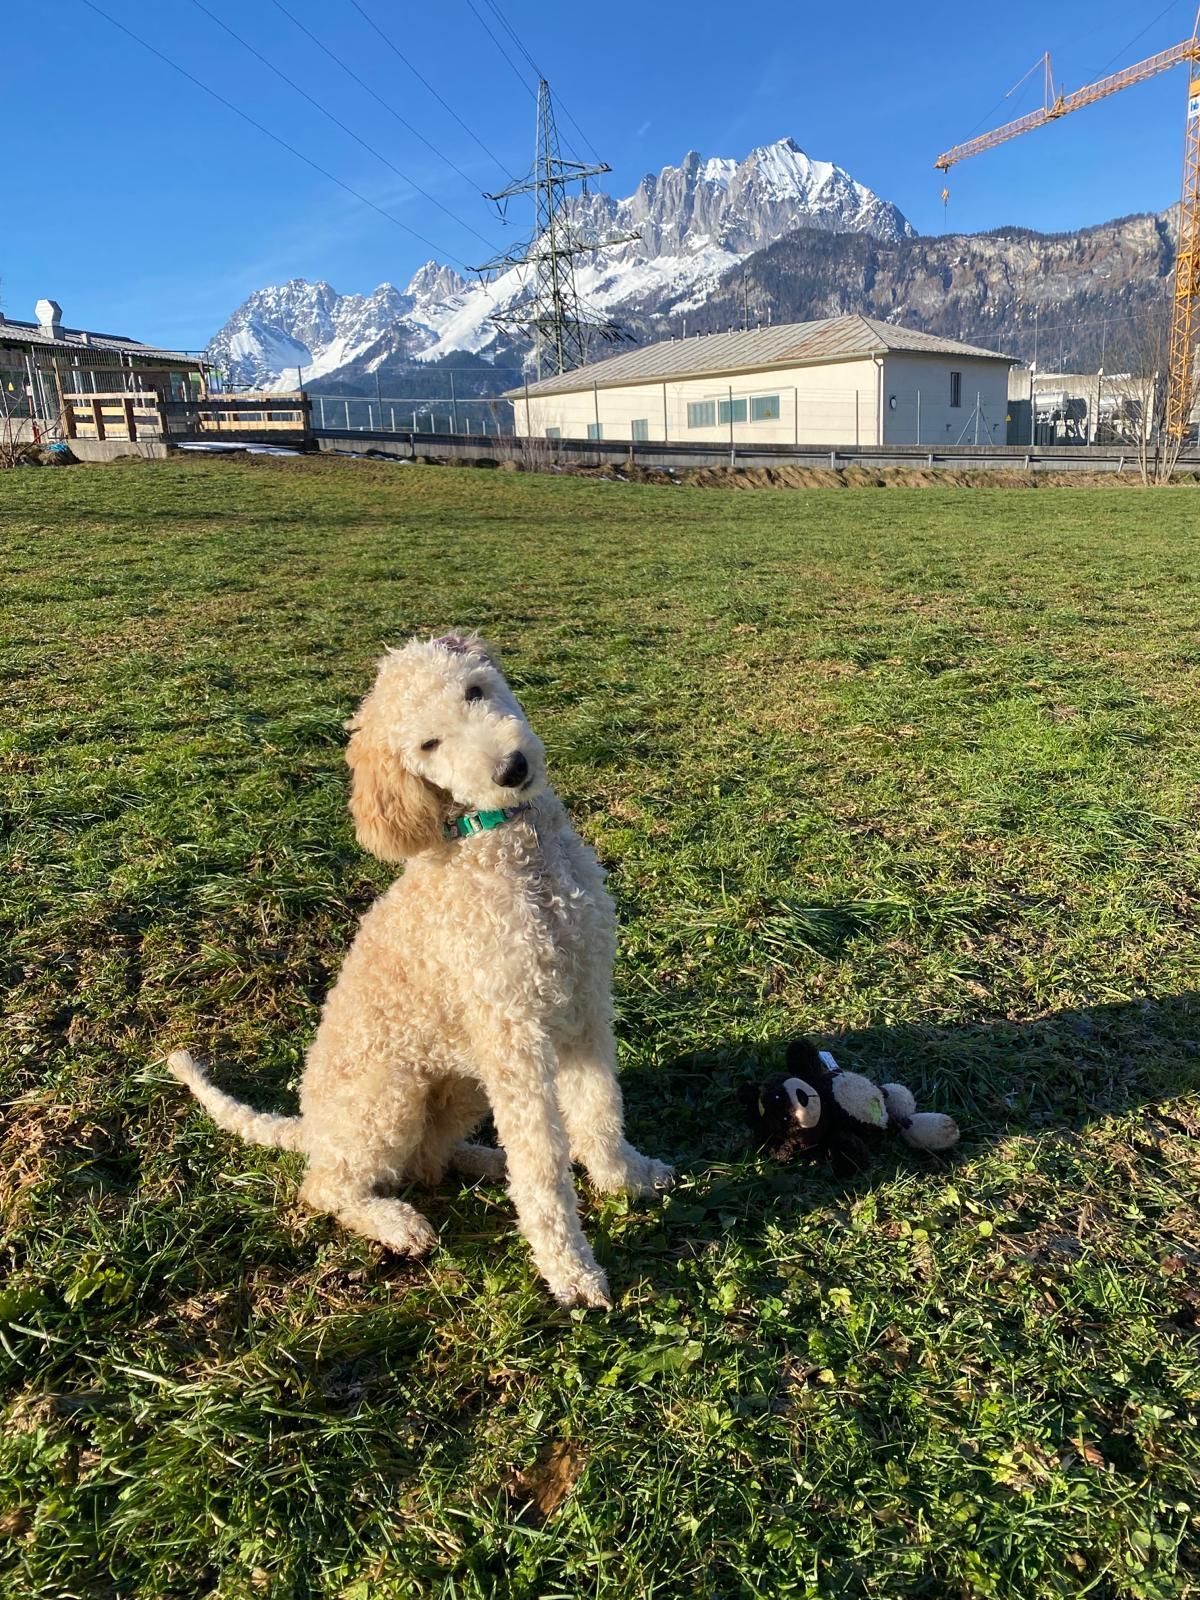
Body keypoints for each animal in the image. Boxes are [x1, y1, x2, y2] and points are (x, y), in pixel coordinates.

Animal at [168, 632, 673, 1308]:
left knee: (429, 1162)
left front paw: (627, 1177)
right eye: (429, 745)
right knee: (329, 1185)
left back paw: (484, 1162)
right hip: (393, 1093)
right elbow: (541, 1166)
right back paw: (395, 1222)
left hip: (465, 1081)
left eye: (475, 690)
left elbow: (599, 1111)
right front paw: (570, 1269)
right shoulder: (515, 1036)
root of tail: (312, 1127)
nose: (511, 769)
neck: (513, 849)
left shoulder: (585, 1002)